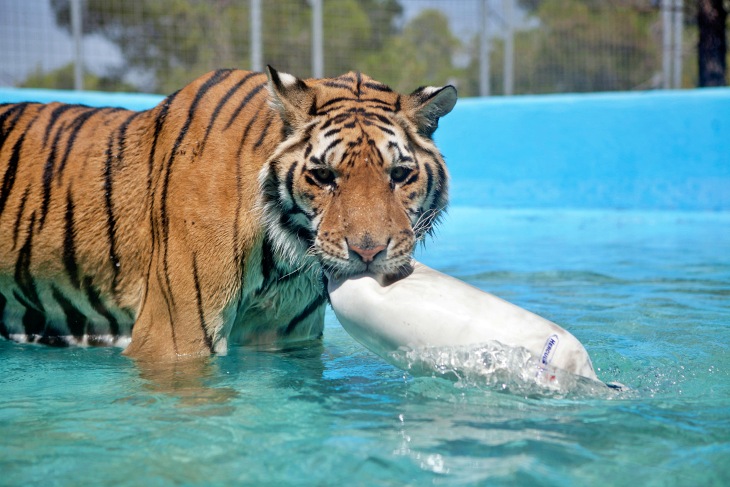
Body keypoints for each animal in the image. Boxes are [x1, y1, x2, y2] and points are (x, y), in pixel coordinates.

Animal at [0, 67, 456, 360]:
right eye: (324, 176)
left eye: (399, 175)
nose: (368, 253)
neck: (285, 259)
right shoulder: (173, 337)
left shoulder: (281, 337)